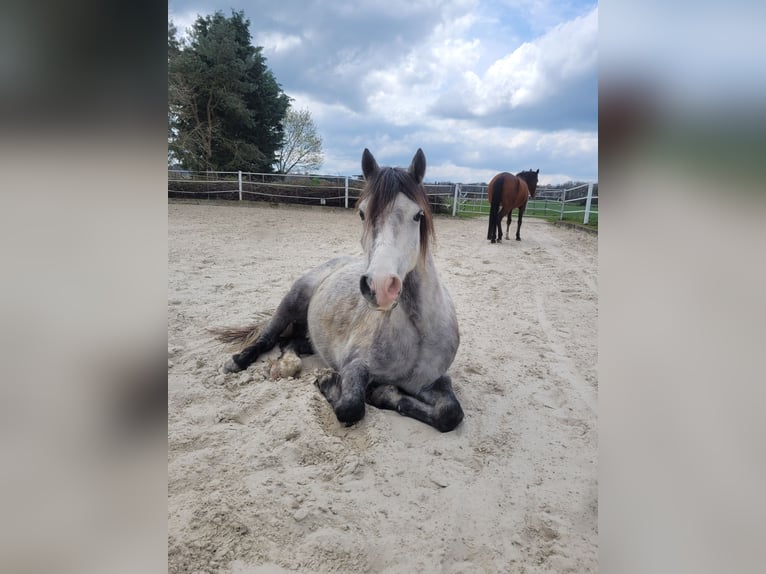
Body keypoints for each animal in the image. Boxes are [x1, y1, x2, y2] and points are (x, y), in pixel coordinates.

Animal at [219, 150, 464, 436]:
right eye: (362, 213)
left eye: (418, 215)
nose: (380, 286)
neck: (418, 335)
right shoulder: (354, 366)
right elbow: (350, 407)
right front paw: (330, 381)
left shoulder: (432, 381)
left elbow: (450, 413)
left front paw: (384, 393)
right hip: (293, 299)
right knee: (268, 339)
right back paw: (239, 361)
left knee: (290, 344)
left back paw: (286, 363)